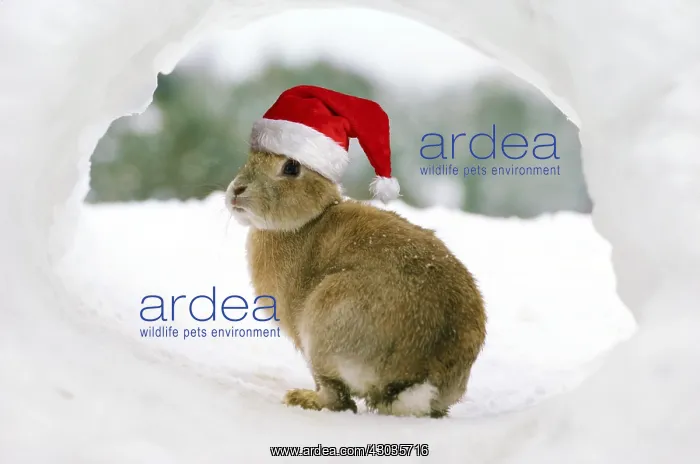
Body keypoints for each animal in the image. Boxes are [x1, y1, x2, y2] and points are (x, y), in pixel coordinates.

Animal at [225, 151, 487, 418]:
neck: (306, 221)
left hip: (325, 324)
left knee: (337, 397)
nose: (236, 190)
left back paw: (301, 398)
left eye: (291, 167)